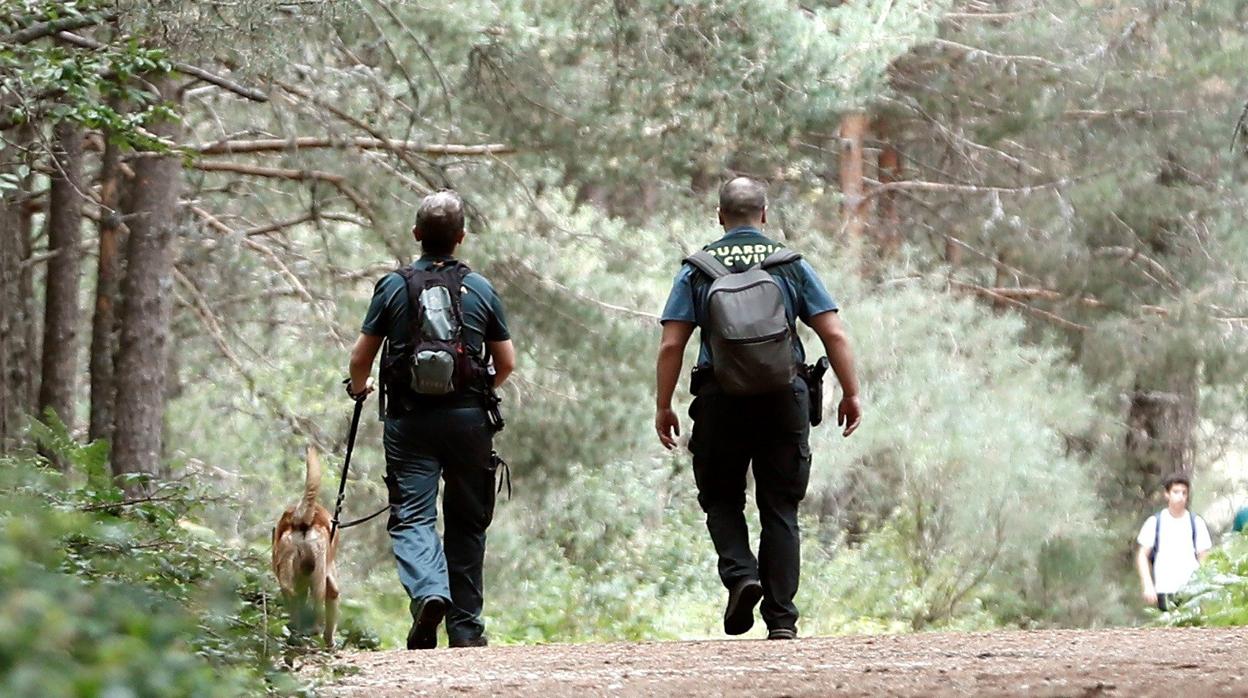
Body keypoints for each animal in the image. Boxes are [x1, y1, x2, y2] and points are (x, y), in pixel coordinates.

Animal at [273, 447, 341, 644]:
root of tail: (301, 518)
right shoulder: (331, 582)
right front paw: (330, 642)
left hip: (289, 575)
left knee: (294, 600)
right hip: (316, 575)